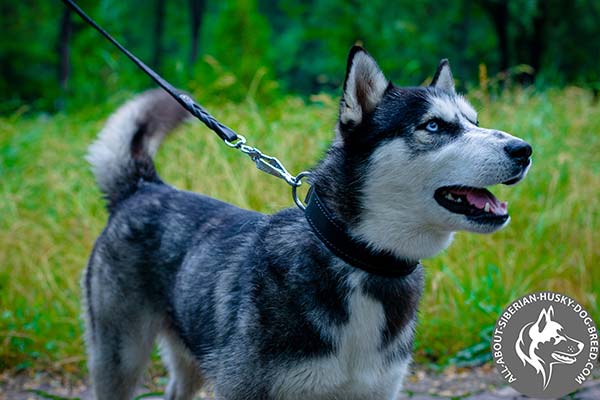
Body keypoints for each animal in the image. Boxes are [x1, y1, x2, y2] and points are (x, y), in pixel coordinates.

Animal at [83, 45, 528, 398]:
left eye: (473, 121)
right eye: (433, 125)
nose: (524, 149)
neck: (359, 262)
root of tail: (143, 187)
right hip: (120, 358)